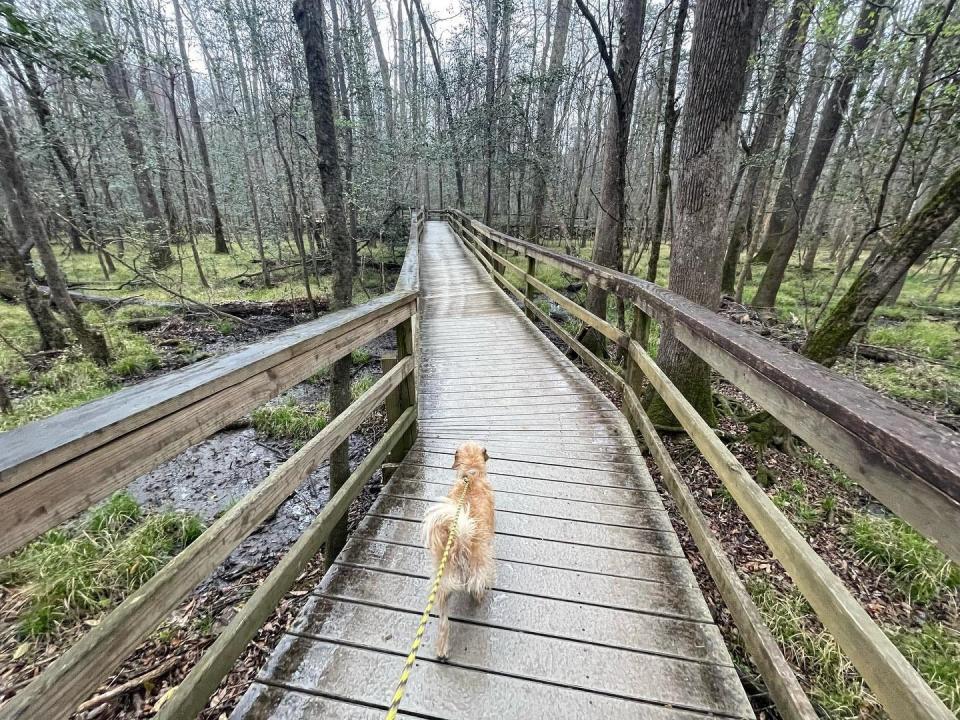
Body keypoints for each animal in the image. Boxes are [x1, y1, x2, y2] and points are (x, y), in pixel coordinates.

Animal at [420, 438, 496, 660]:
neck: (470, 475)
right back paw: (479, 598)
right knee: (476, 586)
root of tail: (459, 541)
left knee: (444, 624)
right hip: (479, 566)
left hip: (442, 584)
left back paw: (442, 651)